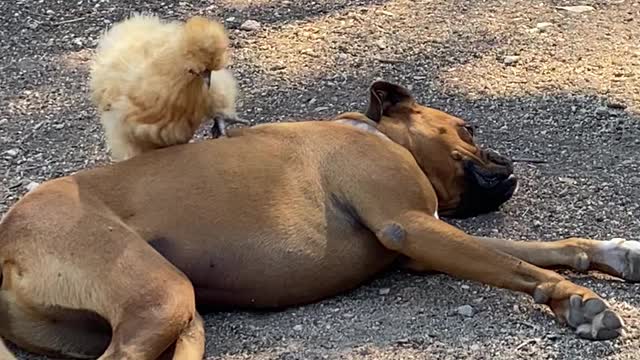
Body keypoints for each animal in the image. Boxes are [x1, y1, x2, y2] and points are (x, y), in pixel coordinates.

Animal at [1, 82, 640, 360]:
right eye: (466, 128)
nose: (509, 165)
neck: (373, 131)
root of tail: (7, 239)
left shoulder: (425, 239)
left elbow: (546, 248)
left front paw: (615, 253)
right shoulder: (410, 224)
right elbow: (516, 264)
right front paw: (578, 303)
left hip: (176, 319)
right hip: (162, 296)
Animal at [89, 13, 248, 160]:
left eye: (210, 71)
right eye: (193, 70)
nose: (207, 81)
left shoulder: (214, 89)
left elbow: (219, 110)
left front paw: (222, 125)